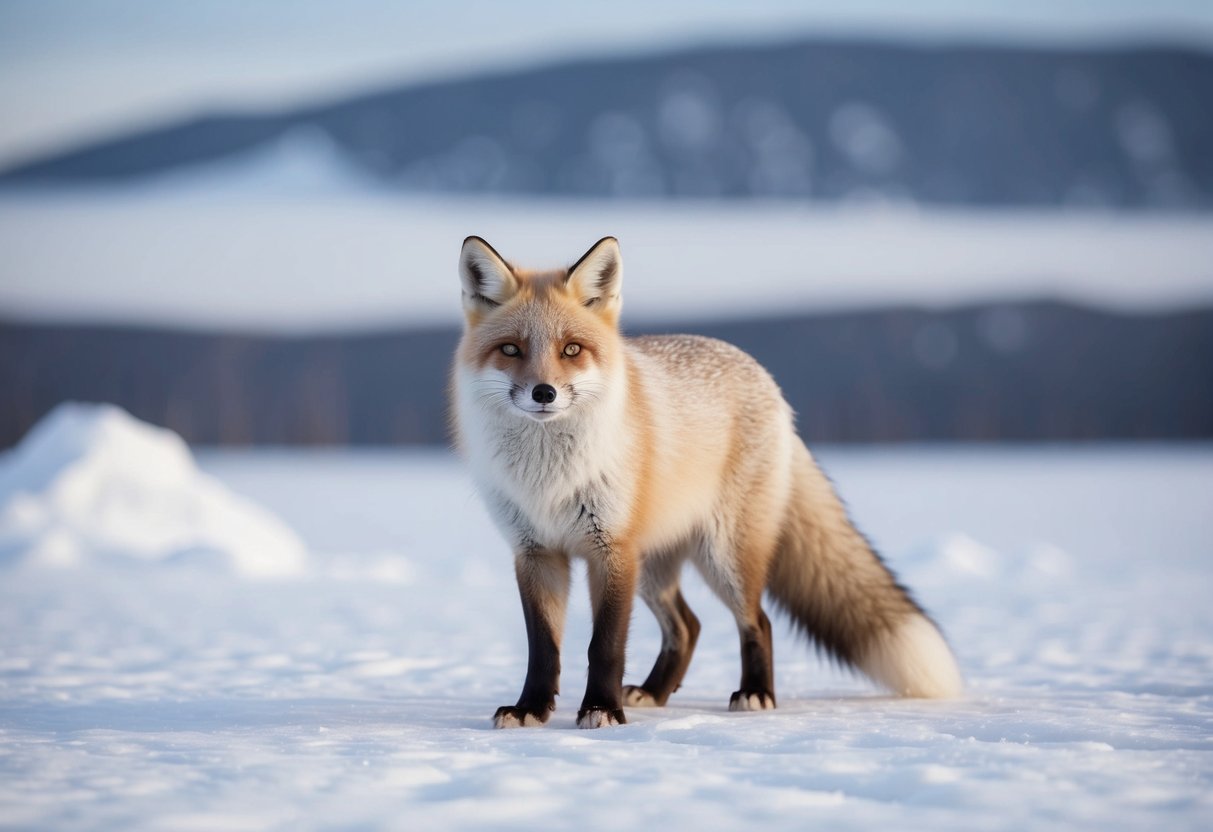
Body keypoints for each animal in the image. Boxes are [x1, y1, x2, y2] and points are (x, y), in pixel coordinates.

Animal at [451, 235, 963, 729]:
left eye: (571, 349)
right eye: (511, 349)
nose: (544, 393)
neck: (549, 479)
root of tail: (767, 381)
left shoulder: (611, 549)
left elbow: (605, 645)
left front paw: (602, 709)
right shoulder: (536, 553)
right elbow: (543, 649)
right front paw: (531, 710)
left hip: (723, 555)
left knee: (757, 620)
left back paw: (755, 694)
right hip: (654, 566)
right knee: (687, 626)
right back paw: (654, 692)